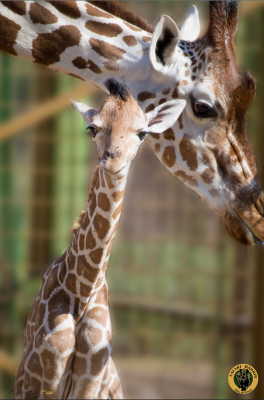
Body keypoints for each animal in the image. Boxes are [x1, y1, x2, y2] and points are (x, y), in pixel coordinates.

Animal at [14, 79, 186, 400]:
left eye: (142, 132)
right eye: (92, 128)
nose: (112, 159)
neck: (82, 288)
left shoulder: (88, 384)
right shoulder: (42, 382)